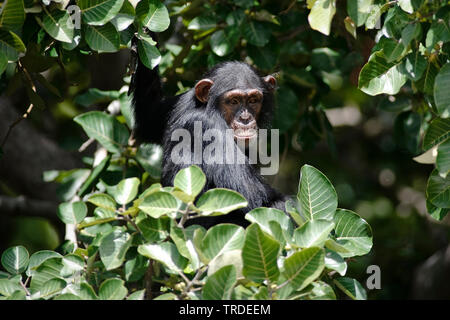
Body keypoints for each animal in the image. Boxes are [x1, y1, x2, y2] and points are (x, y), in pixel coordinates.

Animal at [129, 47, 288, 228]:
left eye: (253, 100)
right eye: (234, 101)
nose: (245, 118)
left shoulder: (178, 102)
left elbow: (149, 119)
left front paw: (141, 42)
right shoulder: (210, 129)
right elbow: (260, 202)